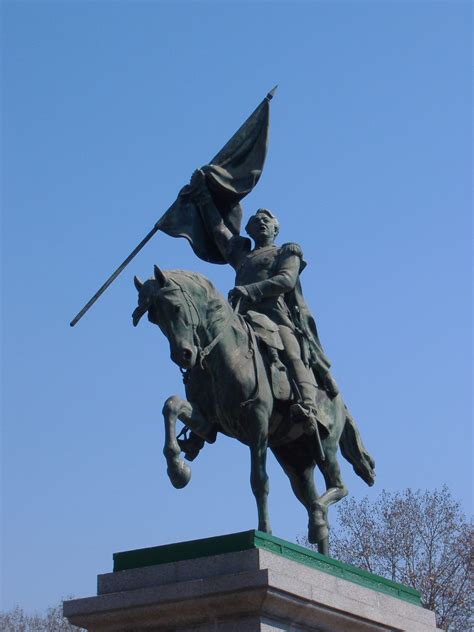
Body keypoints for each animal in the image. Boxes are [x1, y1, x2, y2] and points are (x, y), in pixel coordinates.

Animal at [132, 266, 374, 552]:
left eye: (176, 307)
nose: (184, 355)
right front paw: (177, 470)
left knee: (338, 487)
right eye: (154, 318)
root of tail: (339, 402)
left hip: (326, 446)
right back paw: (321, 541)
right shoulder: (209, 423)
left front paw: (265, 531)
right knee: (314, 502)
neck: (224, 354)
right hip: (296, 461)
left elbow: (259, 480)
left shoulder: (256, 422)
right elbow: (171, 405)